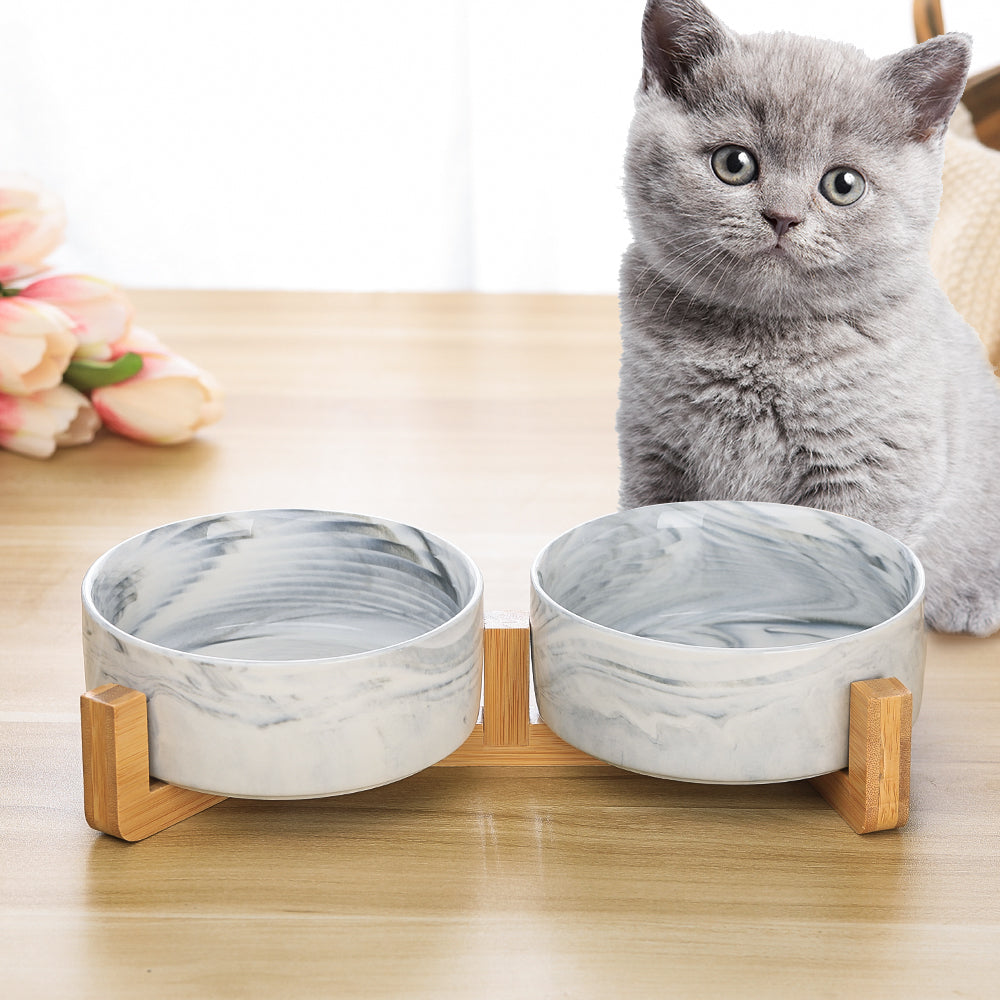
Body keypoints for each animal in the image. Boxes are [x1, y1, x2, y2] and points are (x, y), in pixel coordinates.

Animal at [612, 0, 1000, 632]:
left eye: (844, 184)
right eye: (734, 163)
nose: (783, 216)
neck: (761, 344)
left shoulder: (875, 474)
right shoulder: (652, 451)